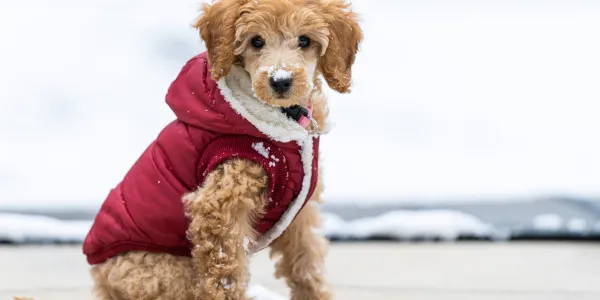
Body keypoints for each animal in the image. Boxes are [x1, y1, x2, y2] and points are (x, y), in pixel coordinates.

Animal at [82, 0, 364, 300]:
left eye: (304, 40)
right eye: (256, 41)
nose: (280, 80)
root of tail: (101, 280)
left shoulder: (299, 214)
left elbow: (305, 262)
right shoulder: (221, 203)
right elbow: (225, 277)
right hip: (166, 273)